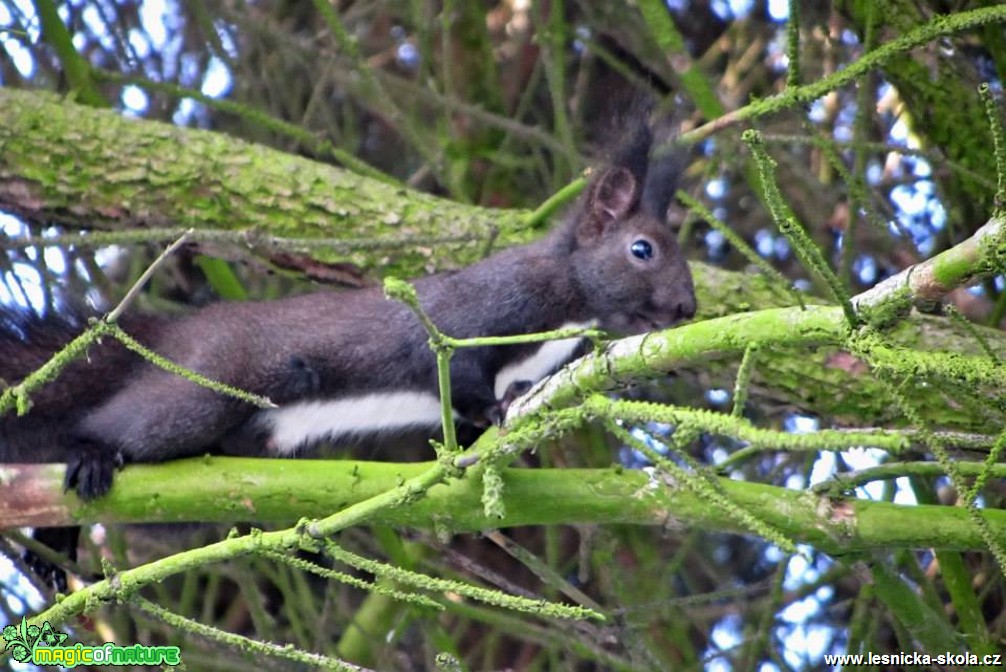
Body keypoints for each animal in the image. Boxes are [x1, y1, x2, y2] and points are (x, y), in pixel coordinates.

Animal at [0, 116, 696, 587]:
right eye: (641, 250)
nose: (688, 309)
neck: (567, 303)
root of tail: (173, 336)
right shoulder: (470, 321)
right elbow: (461, 378)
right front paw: (503, 409)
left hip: (209, 479)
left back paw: (57, 541)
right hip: (200, 391)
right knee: (114, 427)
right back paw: (84, 468)